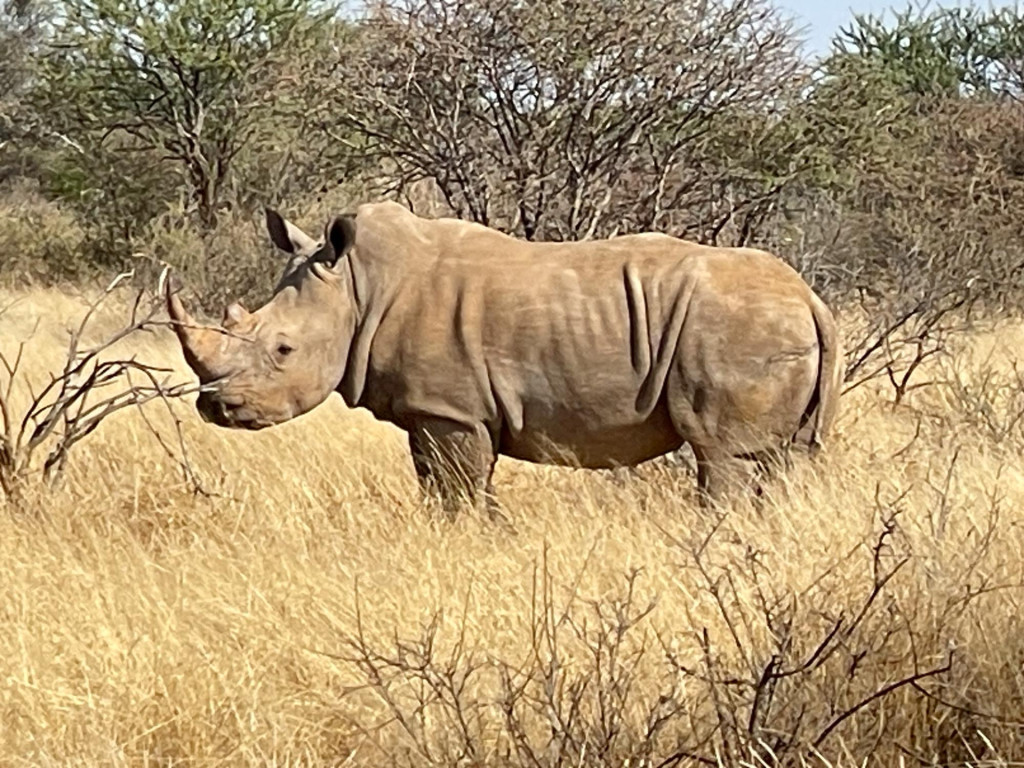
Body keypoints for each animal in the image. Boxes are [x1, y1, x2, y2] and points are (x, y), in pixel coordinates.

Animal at [166, 201, 842, 516]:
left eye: (283, 350)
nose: (215, 407)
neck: (358, 287)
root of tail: (811, 298)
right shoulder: (433, 412)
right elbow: (443, 487)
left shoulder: (452, 411)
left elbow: (459, 491)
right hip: (768, 326)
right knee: (785, 460)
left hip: (735, 328)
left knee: (724, 457)